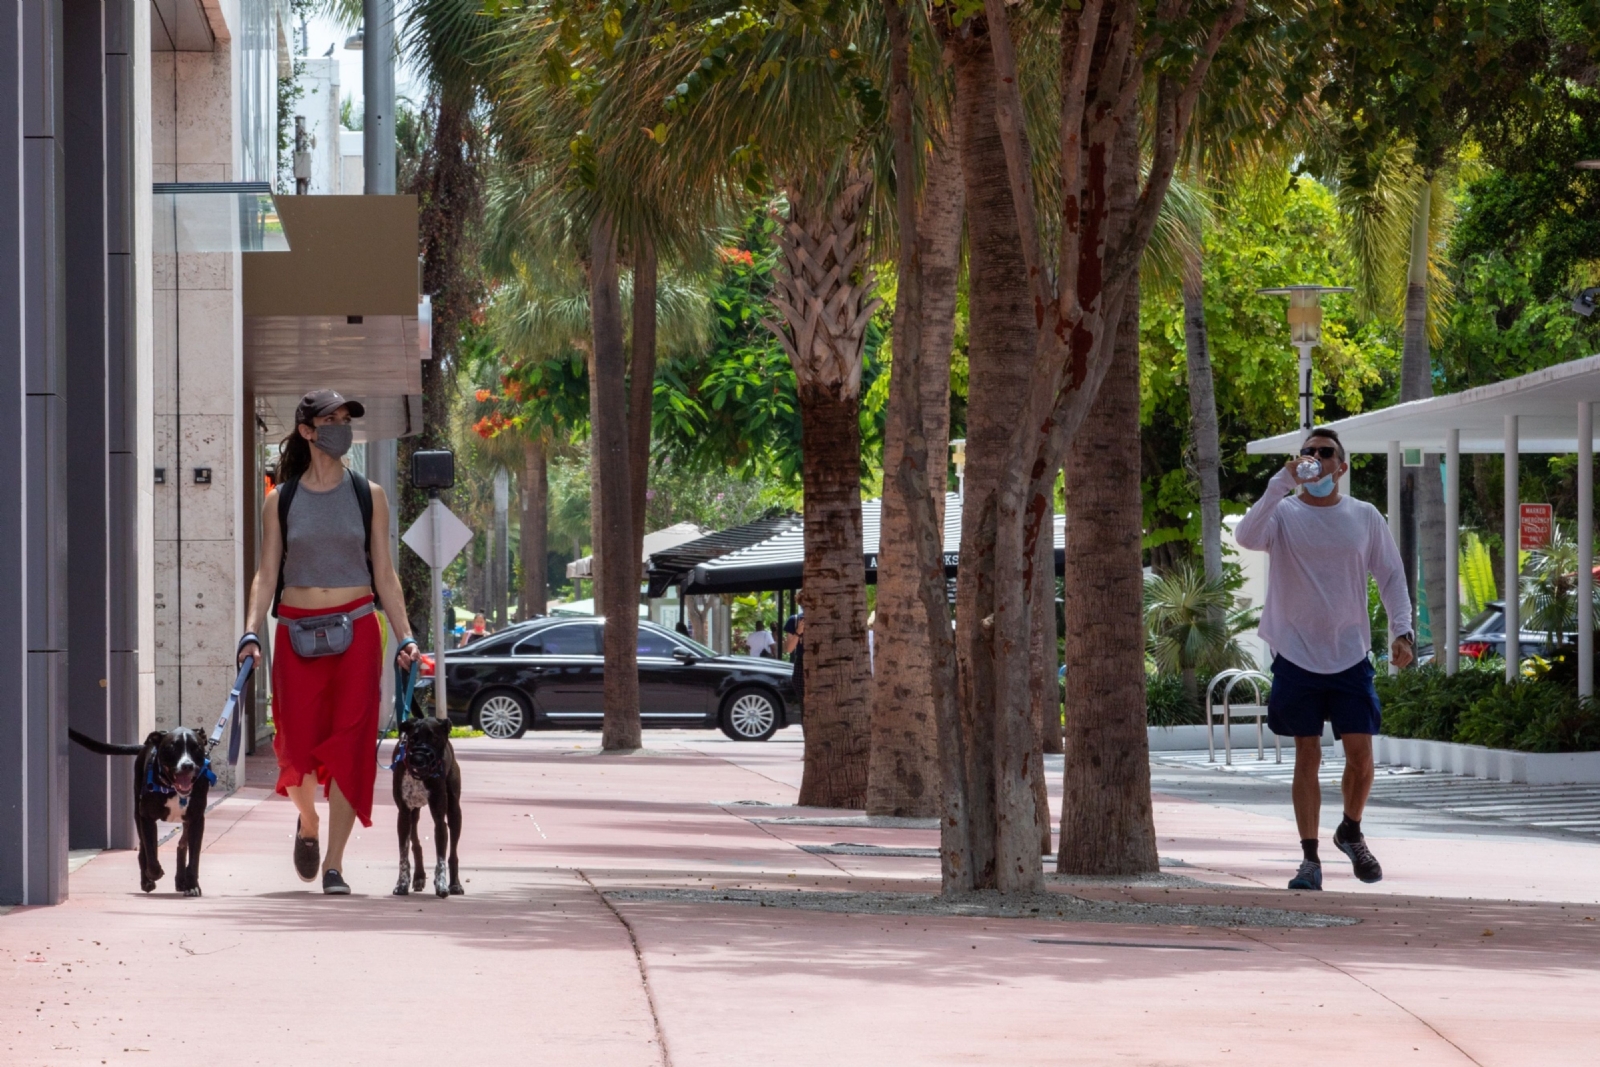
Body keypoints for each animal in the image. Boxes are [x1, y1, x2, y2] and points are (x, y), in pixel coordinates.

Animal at [67, 729, 212, 895]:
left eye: (196, 747)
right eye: (172, 747)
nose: (187, 765)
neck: (172, 789)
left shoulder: (196, 820)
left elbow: (194, 858)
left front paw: (193, 885)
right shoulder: (146, 817)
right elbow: (150, 851)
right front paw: (153, 873)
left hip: (185, 822)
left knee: (182, 844)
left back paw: (182, 881)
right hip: (137, 813)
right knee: (144, 849)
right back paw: (147, 880)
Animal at [392, 716, 467, 902]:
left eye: (434, 738)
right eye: (412, 739)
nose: (419, 758)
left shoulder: (440, 818)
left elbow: (441, 857)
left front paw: (441, 885)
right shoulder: (403, 815)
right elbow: (403, 854)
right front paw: (401, 884)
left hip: (455, 811)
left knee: (453, 853)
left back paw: (455, 884)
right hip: (413, 814)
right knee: (416, 844)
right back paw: (418, 877)